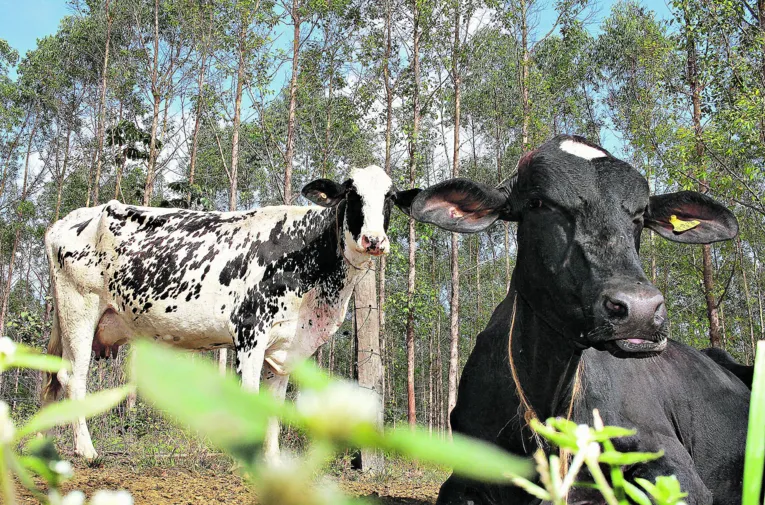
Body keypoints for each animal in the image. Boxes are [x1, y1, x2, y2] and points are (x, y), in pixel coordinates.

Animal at [43, 165, 418, 456]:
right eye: (352, 194)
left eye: (389, 197)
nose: (373, 239)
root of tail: (71, 218)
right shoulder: (249, 331)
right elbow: (251, 399)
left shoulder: (285, 347)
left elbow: (274, 406)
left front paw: (272, 462)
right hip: (79, 311)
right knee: (73, 378)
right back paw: (86, 450)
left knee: (56, 379)